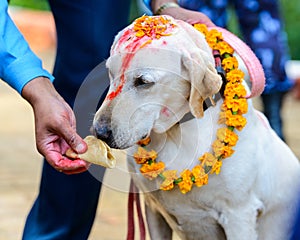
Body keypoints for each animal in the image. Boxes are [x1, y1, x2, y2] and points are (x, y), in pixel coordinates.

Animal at [91, 15, 300, 239]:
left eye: (143, 81)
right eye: (110, 72)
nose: (99, 132)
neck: (175, 132)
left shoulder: (239, 216)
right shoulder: (152, 209)